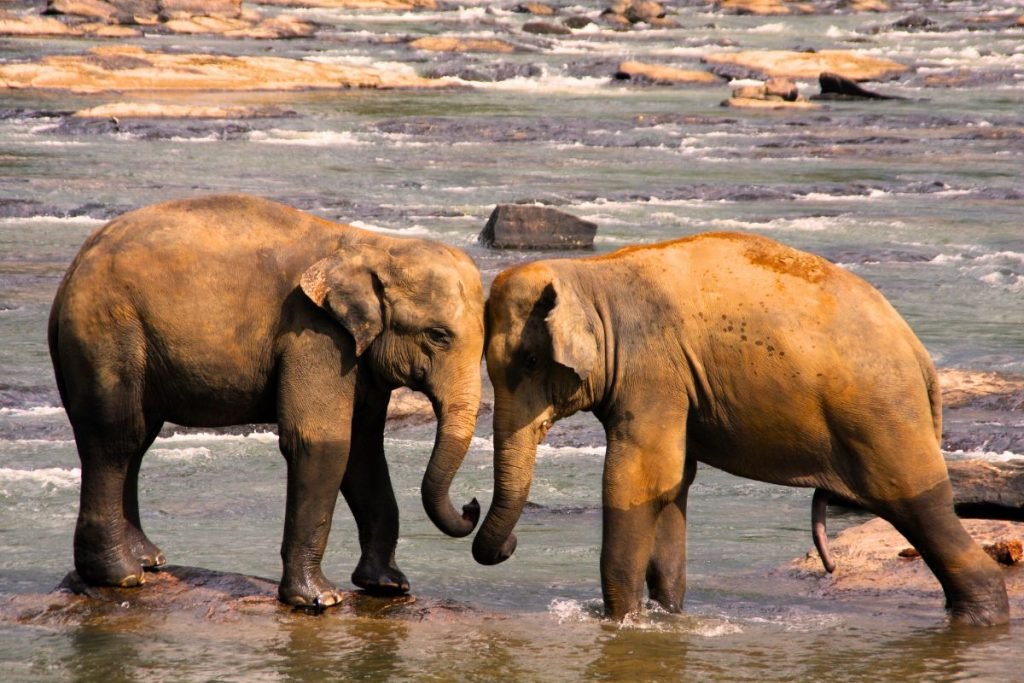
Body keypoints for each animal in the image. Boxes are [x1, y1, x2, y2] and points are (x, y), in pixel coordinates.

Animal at [48, 194, 484, 608]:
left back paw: (148, 560)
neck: (375, 244)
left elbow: (363, 450)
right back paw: (120, 576)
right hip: (107, 332)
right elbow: (323, 442)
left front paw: (388, 585)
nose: (472, 505)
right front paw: (320, 600)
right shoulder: (314, 334)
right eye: (438, 335)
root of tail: (74, 268)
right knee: (115, 438)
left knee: (137, 440)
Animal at [473, 231, 1009, 626]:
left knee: (918, 505)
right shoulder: (673, 384)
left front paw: (621, 622)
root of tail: (919, 353)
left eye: (529, 361)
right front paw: (667, 617)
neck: (589, 274)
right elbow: (674, 484)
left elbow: (638, 479)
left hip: (884, 415)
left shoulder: (653, 371)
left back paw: (979, 617)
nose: (509, 542)